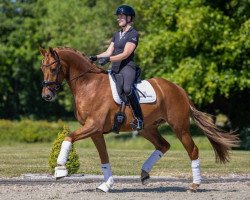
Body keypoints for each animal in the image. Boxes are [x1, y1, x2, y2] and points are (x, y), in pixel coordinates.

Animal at [39, 46, 238, 192]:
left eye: (54, 68)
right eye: (42, 68)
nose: (46, 95)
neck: (89, 85)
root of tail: (179, 89)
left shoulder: (93, 126)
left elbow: (68, 137)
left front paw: (60, 169)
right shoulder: (95, 131)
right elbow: (104, 157)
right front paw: (106, 185)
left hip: (179, 127)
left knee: (193, 150)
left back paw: (195, 185)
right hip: (147, 128)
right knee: (163, 145)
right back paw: (144, 173)